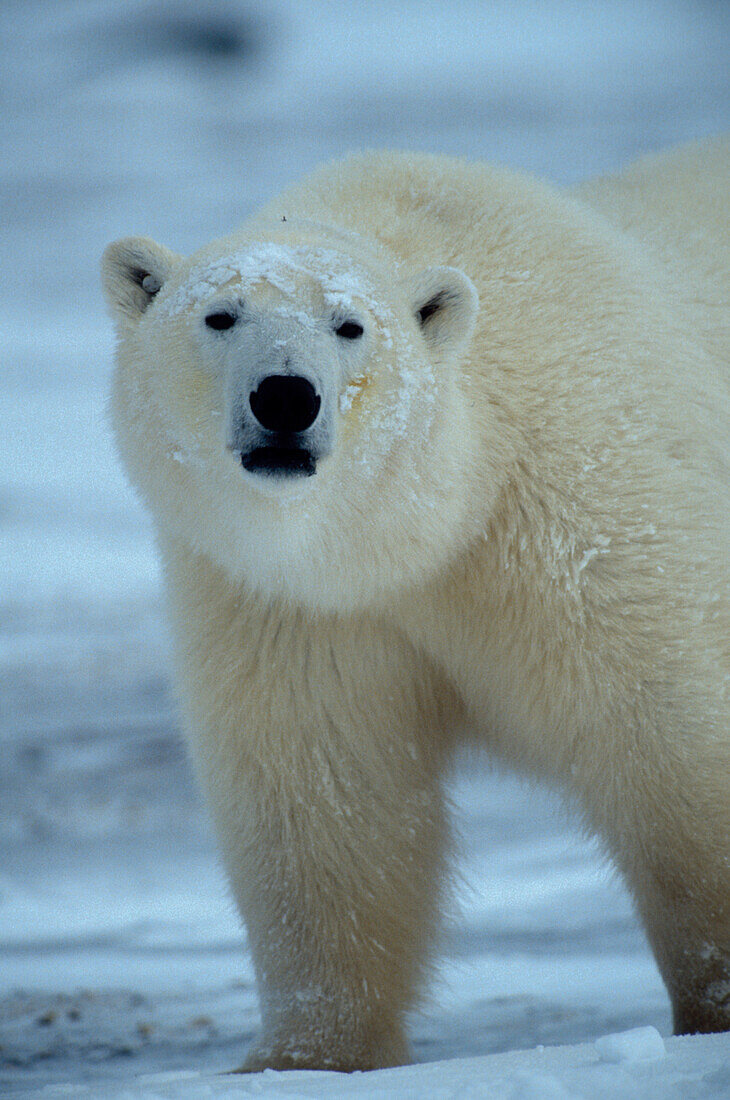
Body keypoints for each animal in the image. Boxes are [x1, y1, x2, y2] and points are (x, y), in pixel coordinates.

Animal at [102, 139, 729, 1073]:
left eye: (349, 326)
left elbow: (667, 745)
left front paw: (713, 1010)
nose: (285, 397)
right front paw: (303, 1058)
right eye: (220, 316)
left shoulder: (587, 525)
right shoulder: (299, 607)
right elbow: (325, 797)